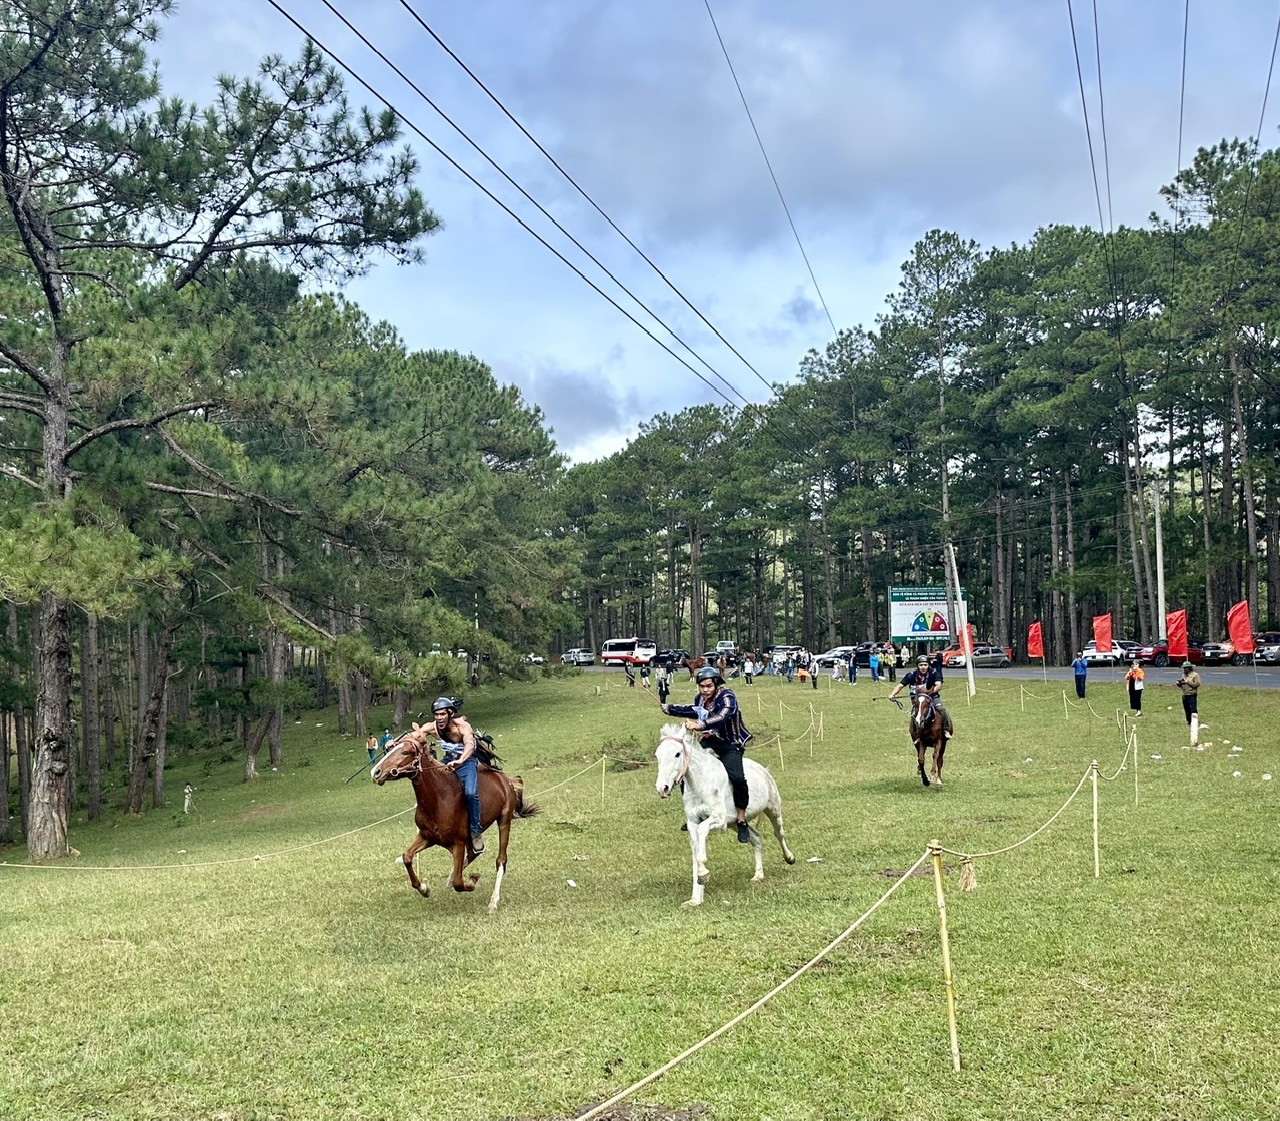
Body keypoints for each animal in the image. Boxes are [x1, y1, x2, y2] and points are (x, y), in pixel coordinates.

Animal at [368, 726, 537, 911]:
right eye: (391, 749)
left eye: (405, 752)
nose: (376, 772)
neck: (439, 798)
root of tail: (506, 779)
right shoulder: (427, 836)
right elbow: (407, 857)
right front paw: (424, 889)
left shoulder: (458, 843)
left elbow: (459, 882)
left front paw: (472, 880)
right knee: (474, 852)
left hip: (504, 820)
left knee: (500, 860)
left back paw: (493, 901)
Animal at [655, 721, 793, 906]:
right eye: (657, 755)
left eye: (677, 754)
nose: (662, 788)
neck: (700, 783)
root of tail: (763, 769)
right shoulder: (692, 823)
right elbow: (695, 853)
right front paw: (695, 898)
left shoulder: (718, 820)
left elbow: (703, 831)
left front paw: (703, 873)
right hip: (735, 823)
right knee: (756, 838)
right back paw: (758, 875)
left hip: (773, 810)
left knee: (779, 833)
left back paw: (789, 858)